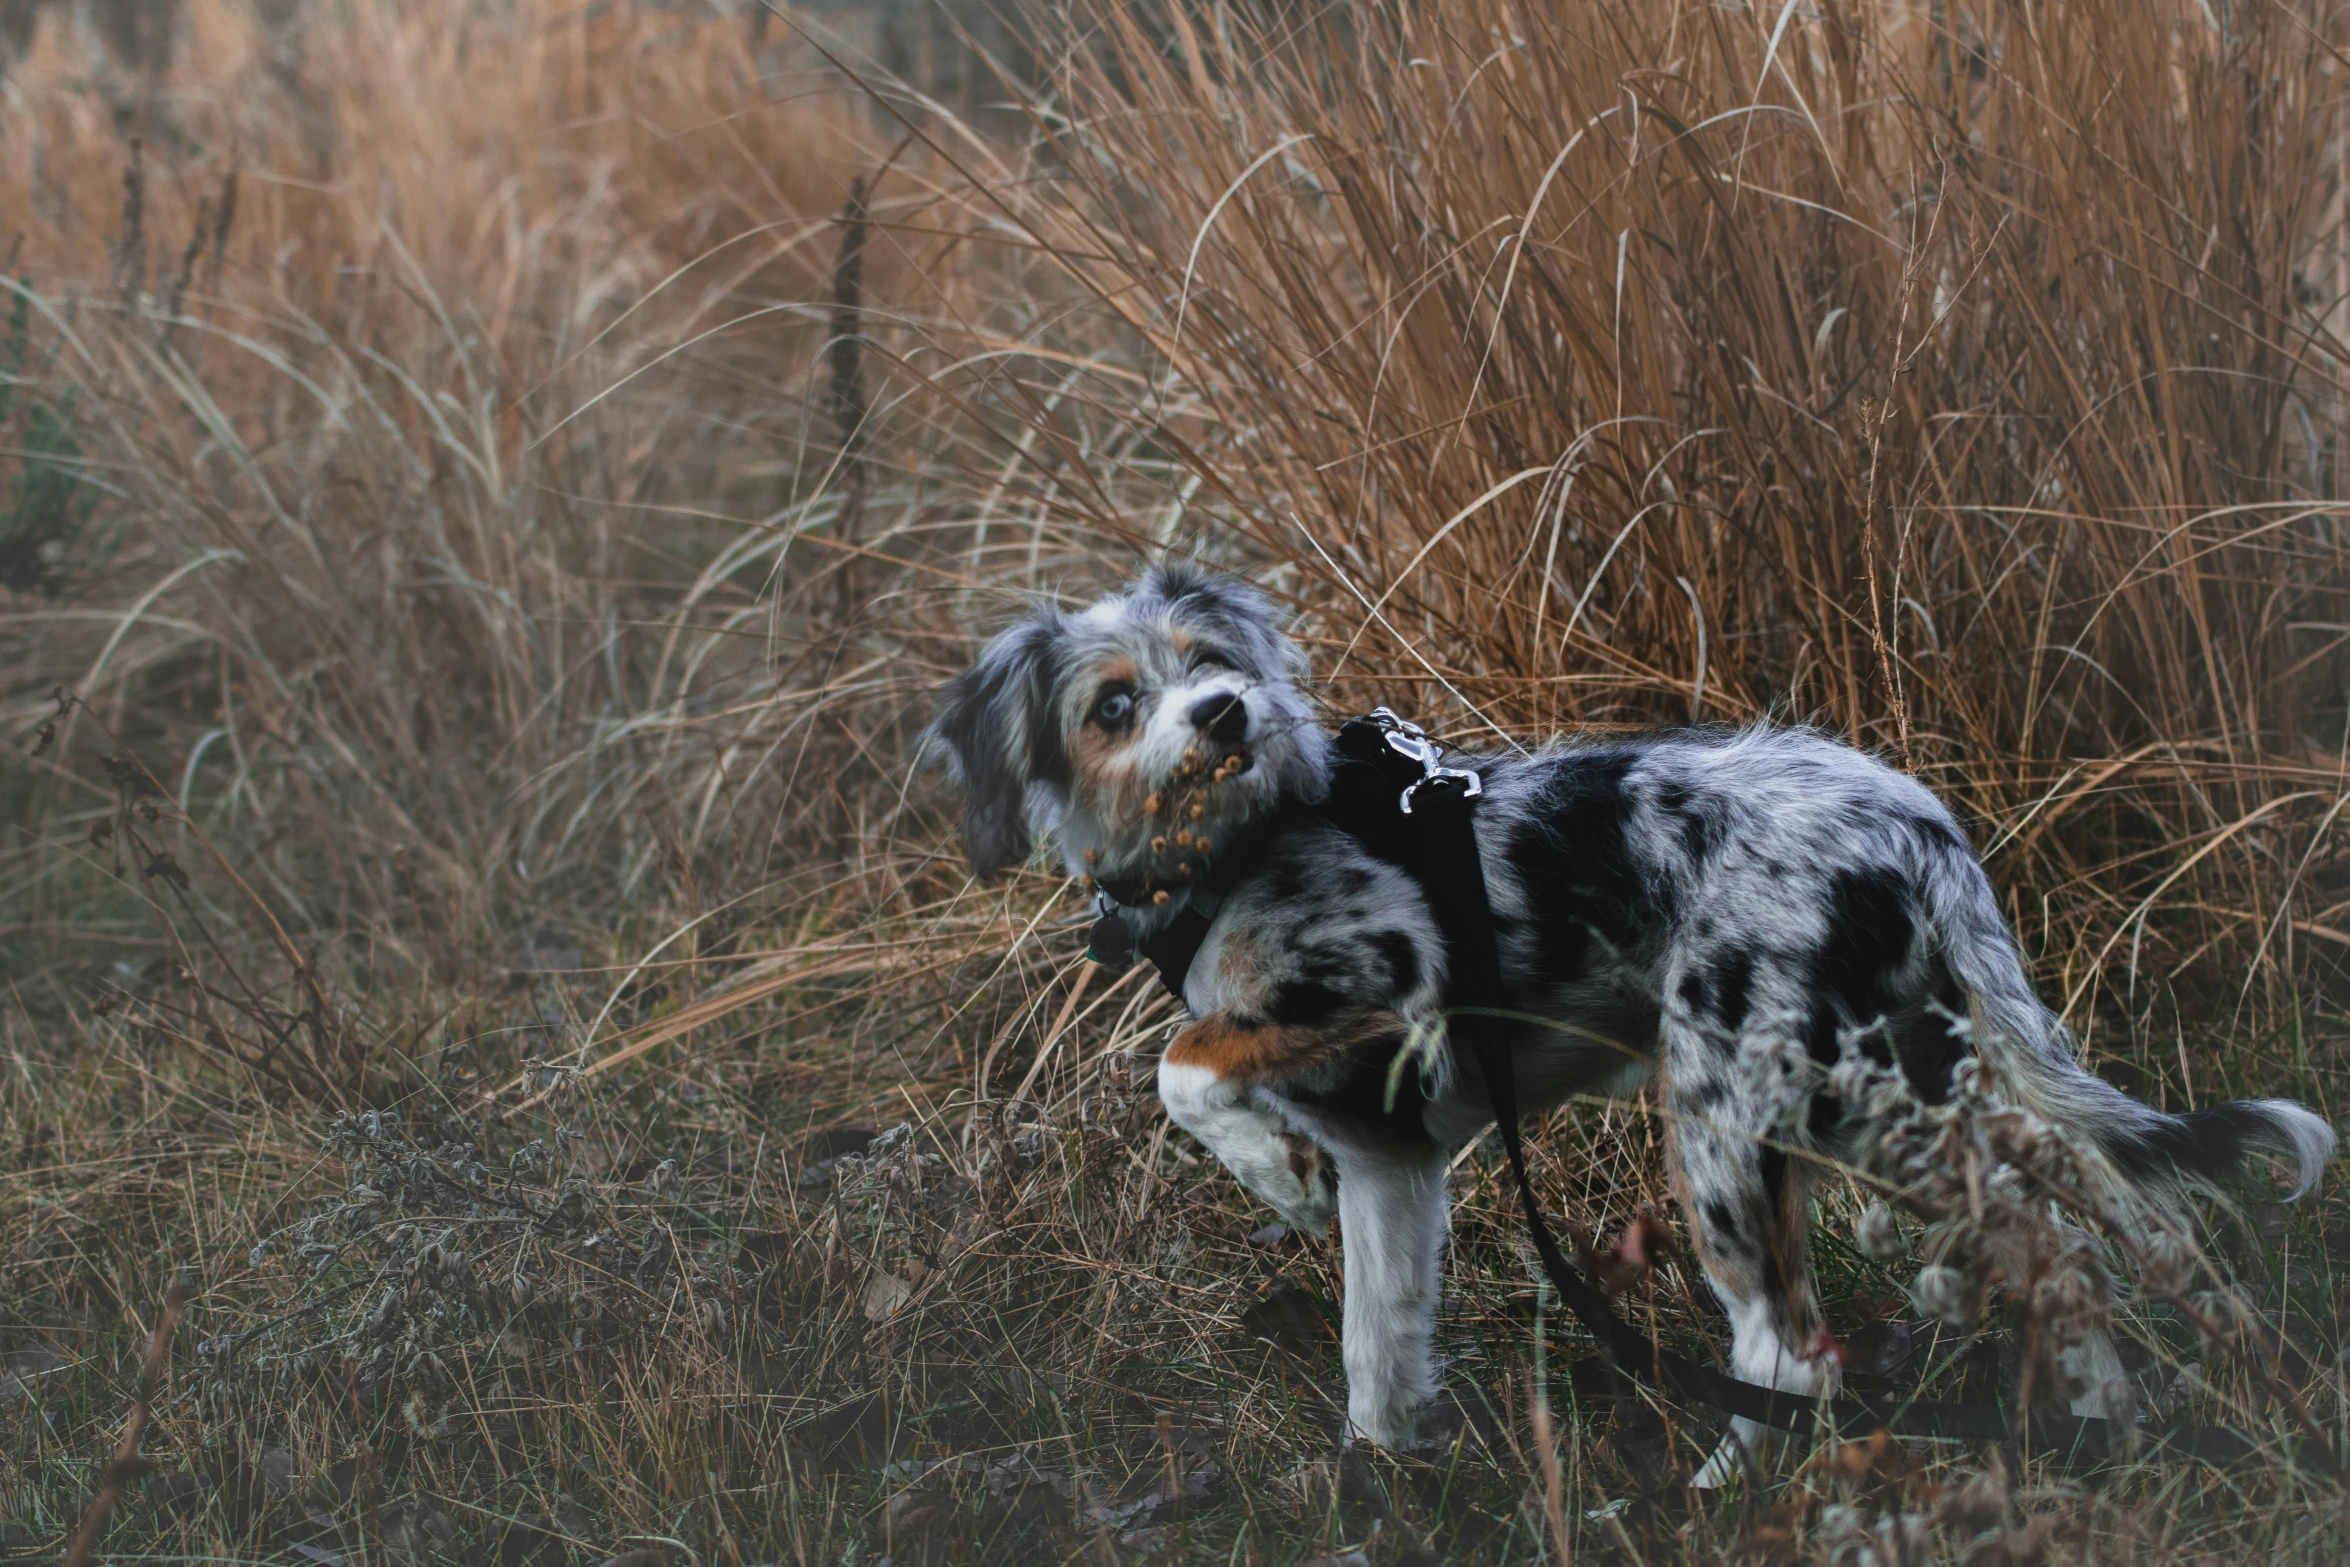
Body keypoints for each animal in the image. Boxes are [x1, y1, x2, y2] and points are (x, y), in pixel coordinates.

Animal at [921, 566, 2331, 1475]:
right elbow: (1377, 1350)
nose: (1225, 713)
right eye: (1113, 704)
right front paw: (1391, 1483)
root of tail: (1913, 818)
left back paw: (1730, 1499)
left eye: (1210, 665)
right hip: (1883, 1094)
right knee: (2068, 1232)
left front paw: (1267, 1168)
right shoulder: (1393, 1163)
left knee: (1790, 1348)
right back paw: (2120, 1420)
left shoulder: (1385, 970)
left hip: (1734, 1118)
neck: (1237, 849)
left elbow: (1185, 1059)